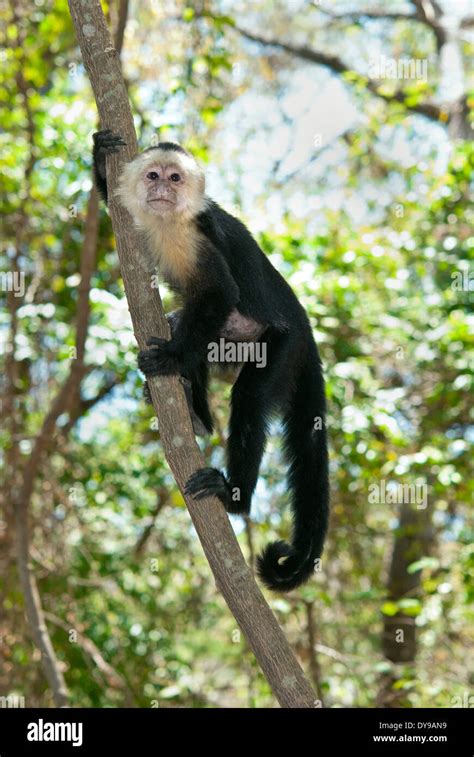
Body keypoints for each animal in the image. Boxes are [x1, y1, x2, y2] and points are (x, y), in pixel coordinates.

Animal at [92, 130, 330, 592]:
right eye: (152, 175)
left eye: (175, 178)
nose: (163, 190)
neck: (168, 222)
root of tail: (308, 331)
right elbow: (114, 204)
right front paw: (99, 157)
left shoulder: (193, 235)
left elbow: (221, 293)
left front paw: (169, 358)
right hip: (227, 341)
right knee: (182, 322)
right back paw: (195, 412)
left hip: (283, 344)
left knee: (250, 397)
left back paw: (234, 495)